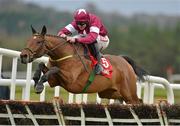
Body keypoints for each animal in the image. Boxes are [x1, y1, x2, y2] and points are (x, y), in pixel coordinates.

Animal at [20, 25, 148, 104]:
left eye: (39, 42)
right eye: (28, 40)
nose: (23, 56)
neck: (65, 54)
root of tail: (124, 60)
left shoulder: (70, 80)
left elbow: (56, 69)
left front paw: (39, 86)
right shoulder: (54, 81)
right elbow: (42, 65)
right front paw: (36, 81)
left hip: (129, 93)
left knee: (137, 101)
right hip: (110, 93)